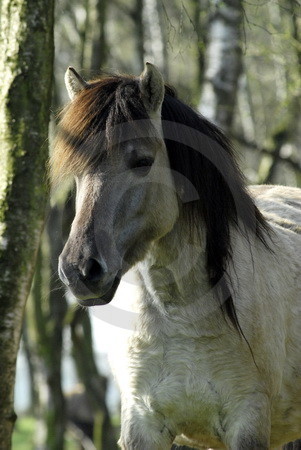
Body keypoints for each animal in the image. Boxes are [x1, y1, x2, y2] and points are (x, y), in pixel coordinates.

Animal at [51, 63, 300, 450]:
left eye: (142, 161)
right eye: (76, 170)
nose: (79, 270)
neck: (181, 313)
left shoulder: (249, 423)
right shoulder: (141, 426)